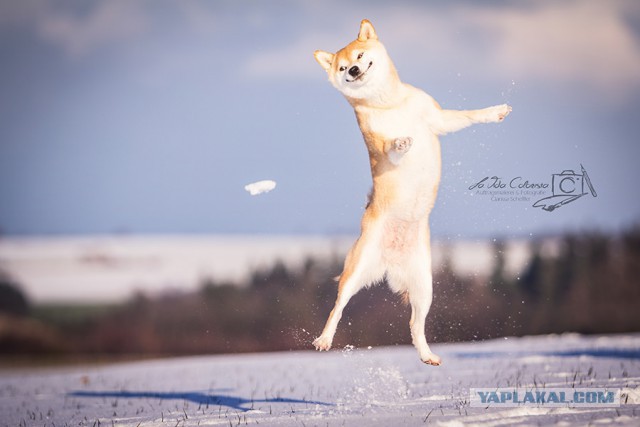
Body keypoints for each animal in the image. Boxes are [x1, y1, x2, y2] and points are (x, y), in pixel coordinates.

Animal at [310, 20, 510, 366]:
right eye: (341, 67)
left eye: (359, 56)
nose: (353, 70)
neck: (388, 104)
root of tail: (390, 262)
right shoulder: (379, 147)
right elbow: (391, 147)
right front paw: (402, 141)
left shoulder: (438, 119)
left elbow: (469, 116)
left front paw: (495, 112)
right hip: (356, 270)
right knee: (338, 308)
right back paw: (324, 339)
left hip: (424, 285)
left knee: (415, 325)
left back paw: (428, 355)